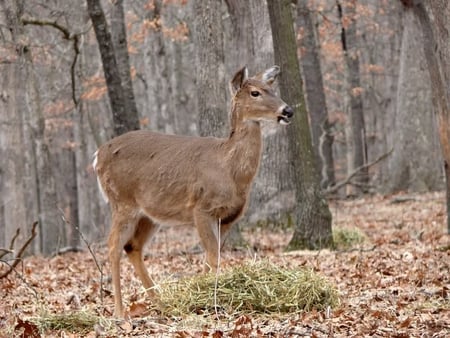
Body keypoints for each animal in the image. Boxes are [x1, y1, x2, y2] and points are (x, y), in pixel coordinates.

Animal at [93, 65, 294, 316]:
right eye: (255, 92)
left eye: (272, 88)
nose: (288, 110)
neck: (229, 169)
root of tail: (98, 155)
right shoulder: (202, 208)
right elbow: (213, 257)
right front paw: (211, 300)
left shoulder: (228, 218)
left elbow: (212, 257)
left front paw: (201, 297)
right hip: (122, 200)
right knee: (113, 246)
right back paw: (120, 312)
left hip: (149, 214)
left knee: (133, 247)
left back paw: (162, 304)